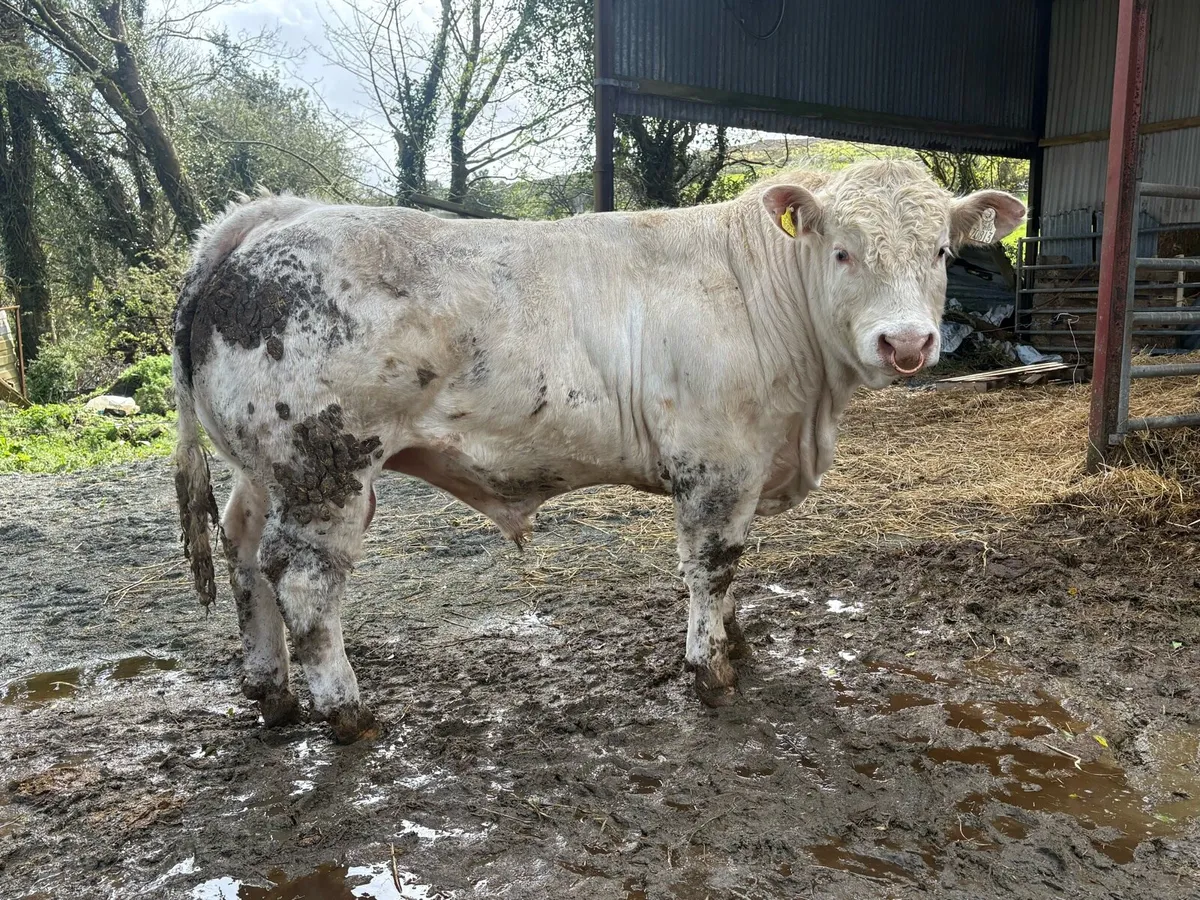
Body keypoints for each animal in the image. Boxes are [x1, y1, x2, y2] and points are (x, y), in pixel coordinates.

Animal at [172, 160, 1025, 743]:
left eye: (942, 252)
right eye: (843, 250)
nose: (907, 343)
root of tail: (270, 219)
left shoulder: (746, 468)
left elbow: (732, 567)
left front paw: (736, 640)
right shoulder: (717, 463)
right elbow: (712, 565)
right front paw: (711, 670)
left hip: (264, 472)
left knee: (245, 553)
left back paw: (270, 689)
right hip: (326, 469)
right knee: (305, 582)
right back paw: (345, 712)